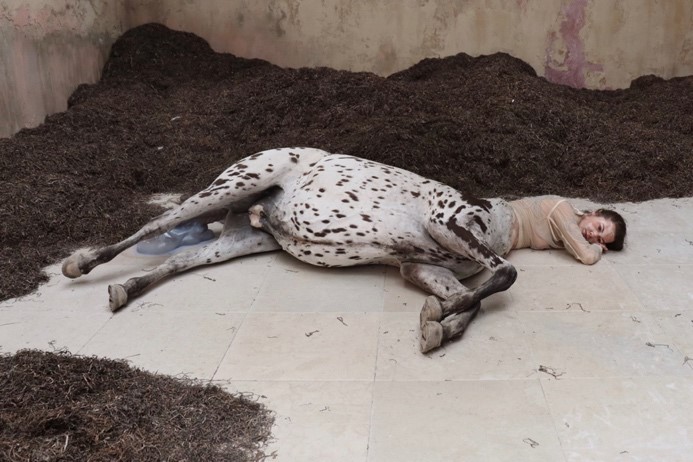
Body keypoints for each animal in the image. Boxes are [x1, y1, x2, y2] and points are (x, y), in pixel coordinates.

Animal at [62, 148, 516, 354]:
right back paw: (81, 263)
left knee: (179, 260)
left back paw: (125, 289)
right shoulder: (446, 221)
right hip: (234, 184)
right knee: (155, 224)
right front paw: (441, 317)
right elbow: (504, 274)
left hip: (241, 240)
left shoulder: (419, 268)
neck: (496, 219)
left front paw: (439, 324)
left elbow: (471, 300)